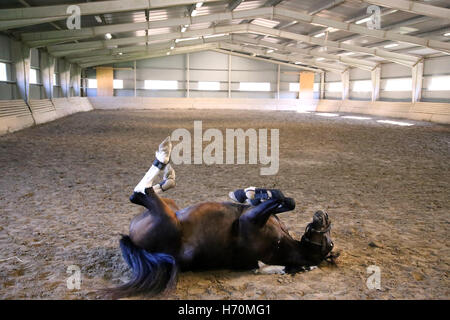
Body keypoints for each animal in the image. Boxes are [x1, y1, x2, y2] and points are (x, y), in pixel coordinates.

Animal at [107, 138, 336, 298]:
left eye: (329, 244)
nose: (323, 216)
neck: (283, 244)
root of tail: (131, 240)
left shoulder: (248, 221)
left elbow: (283, 199)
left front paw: (252, 193)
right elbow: (284, 202)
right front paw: (248, 194)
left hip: (165, 216)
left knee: (139, 193)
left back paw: (164, 156)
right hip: (171, 207)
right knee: (150, 193)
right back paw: (167, 178)